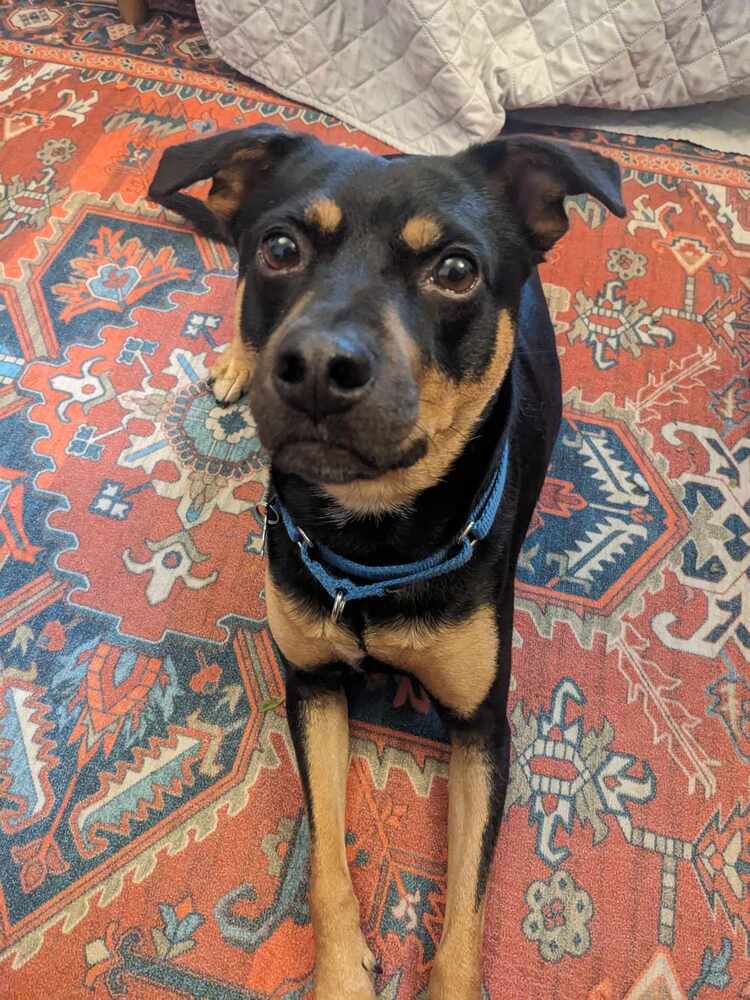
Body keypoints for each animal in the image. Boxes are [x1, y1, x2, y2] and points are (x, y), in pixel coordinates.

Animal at [150, 127, 624, 1000]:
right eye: (280, 247)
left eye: (457, 269)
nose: (315, 366)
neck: (373, 538)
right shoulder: (311, 684)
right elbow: (325, 865)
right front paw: (341, 974)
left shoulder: (481, 726)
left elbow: (466, 904)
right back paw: (234, 362)